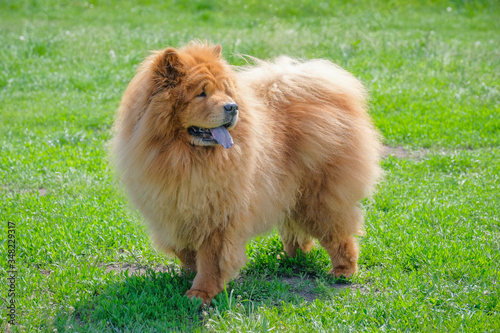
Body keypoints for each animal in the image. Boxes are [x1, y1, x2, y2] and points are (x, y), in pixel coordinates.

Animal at [110, 42, 382, 304]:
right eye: (201, 93)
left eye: (225, 91)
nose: (232, 106)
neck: (186, 159)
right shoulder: (173, 212)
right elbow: (186, 252)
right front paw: (186, 277)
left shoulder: (217, 218)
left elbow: (211, 260)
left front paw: (201, 294)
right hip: (290, 194)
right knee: (296, 230)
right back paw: (290, 258)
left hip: (318, 198)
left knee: (338, 233)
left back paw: (343, 271)